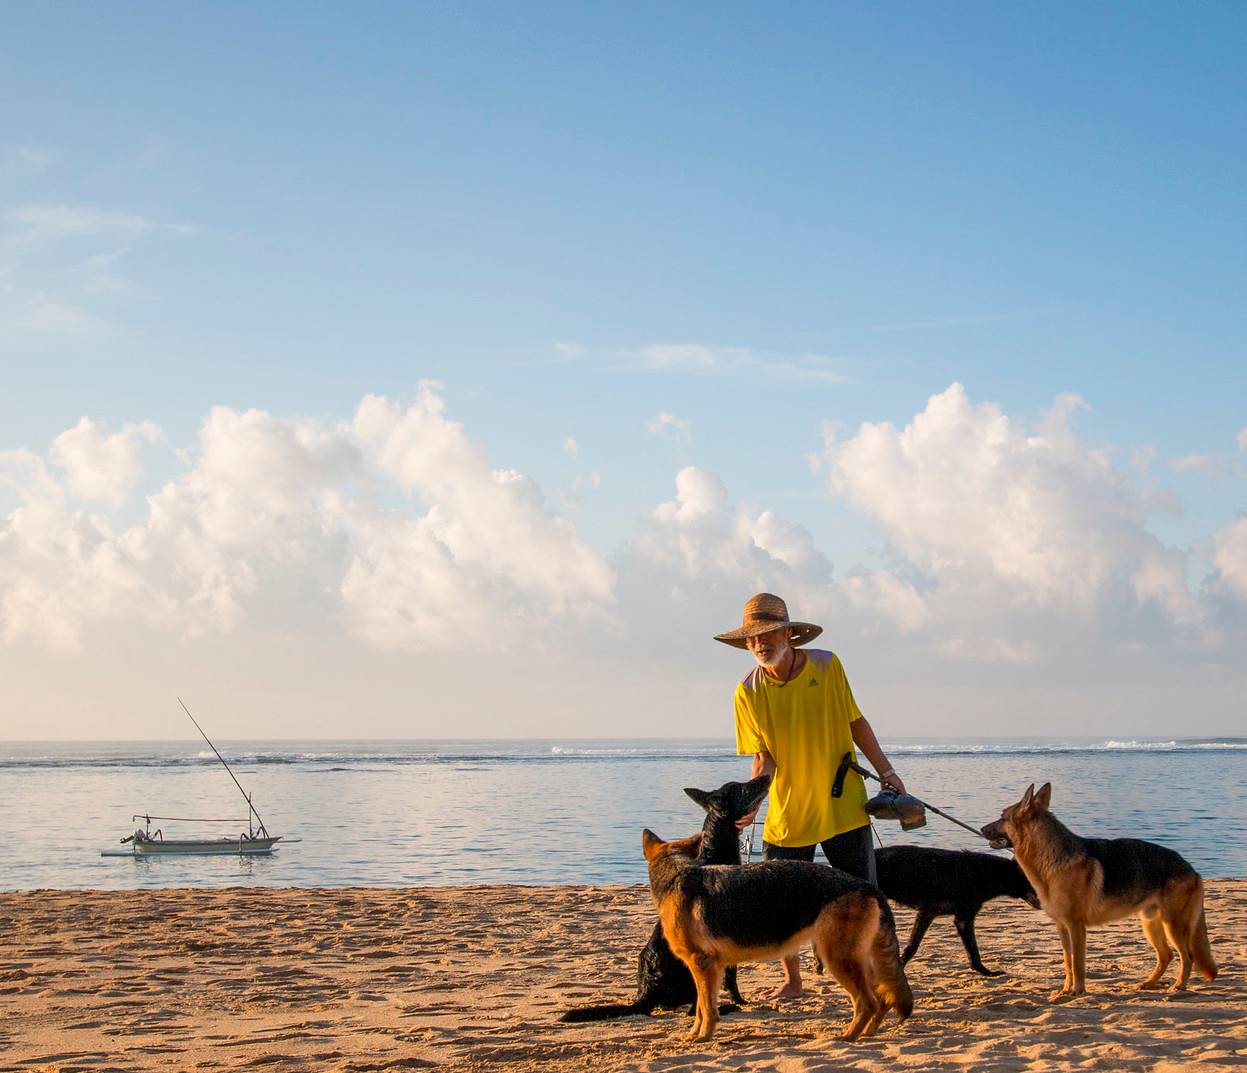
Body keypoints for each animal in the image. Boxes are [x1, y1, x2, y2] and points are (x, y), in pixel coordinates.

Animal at [558, 773, 768, 1023]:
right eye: (742, 788)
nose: (767, 775)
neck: (715, 850)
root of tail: (646, 993)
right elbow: (732, 974)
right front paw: (739, 1000)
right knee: (693, 1008)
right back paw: (726, 1008)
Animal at [638, 823, 912, 1043]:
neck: (676, 873)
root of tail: (868, 887)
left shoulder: (702, 966)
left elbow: (706, 1008)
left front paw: (703, 1036)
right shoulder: (708, 970)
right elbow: (700, 1008)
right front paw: (695, 1033)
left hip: (838, 961)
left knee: (867, 1003)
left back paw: (848, 1036)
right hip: (858, 962)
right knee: (882, 999)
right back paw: (868, 1032)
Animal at [877, 848, 1042, 983]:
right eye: (1033, 883)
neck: (985, 873)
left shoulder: (927, 913)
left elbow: (912, 947)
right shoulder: (964, 919)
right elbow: (973, 952)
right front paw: (986, 972)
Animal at [977, 778, 1212, 998]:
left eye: (1002, 817)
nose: (980, 829)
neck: (1049, 857)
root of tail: (1191, 869)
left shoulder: (1076, 926)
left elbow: (1078, 964)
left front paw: (1078, 991)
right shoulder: (1062, 927)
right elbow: (1068, 963)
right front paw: (1065, 990)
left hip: (1172, 925)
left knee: (1187, 956)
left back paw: (1178, 985)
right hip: (1151, 924)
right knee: (1166, 956)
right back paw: (1148, 983)